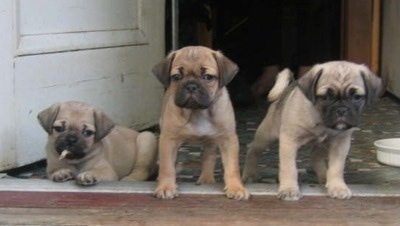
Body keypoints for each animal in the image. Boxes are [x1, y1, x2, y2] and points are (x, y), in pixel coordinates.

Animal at [152, 45, 250, 200]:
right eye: (177, 77)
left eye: (208, 77)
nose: (191, 86)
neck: (197, 112)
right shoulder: (169, 140)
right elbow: (167, 166)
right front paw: (166, 186)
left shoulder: (228, 139)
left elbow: (232, 167)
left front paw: (236, 188)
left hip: (211, 142)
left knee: (208, 157)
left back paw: (206, 179)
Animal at [242, 61, 382, 200]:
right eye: (325, 97)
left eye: (357, 97)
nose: (342, 109)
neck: (322, 121)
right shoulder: (289, 141)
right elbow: (289, 168)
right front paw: (289, 189)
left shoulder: (340, 144)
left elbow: (336, 168)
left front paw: (337, 187)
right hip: (266, 136)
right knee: (253, 151)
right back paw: (250, 174)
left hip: (322, 145)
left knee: (315, 157)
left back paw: (324, 177)